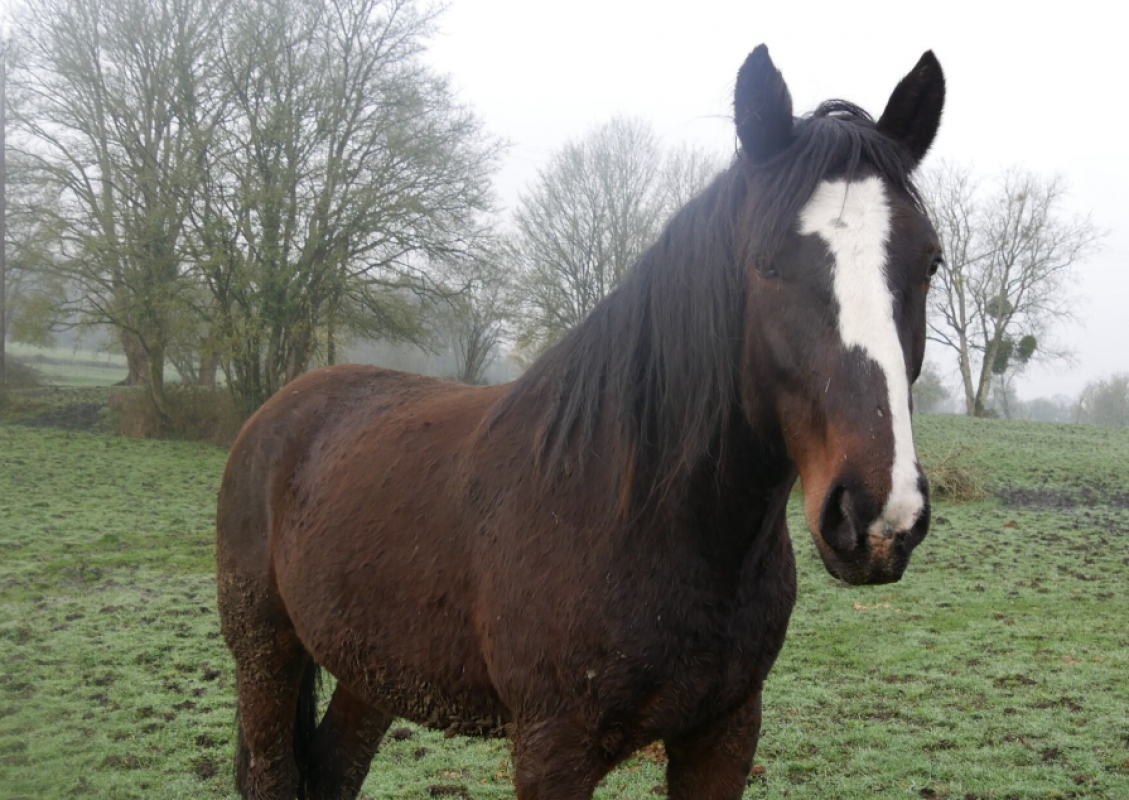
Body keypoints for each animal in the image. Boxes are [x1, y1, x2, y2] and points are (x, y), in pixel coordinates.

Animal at [216, 44, 946, 800]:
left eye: (930, 261)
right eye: (766, 263)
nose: (877, 517)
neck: (642, 515)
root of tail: (282, 408)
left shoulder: (724, 732)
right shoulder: (552, 747)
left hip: (369, 668)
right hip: (266, 651)